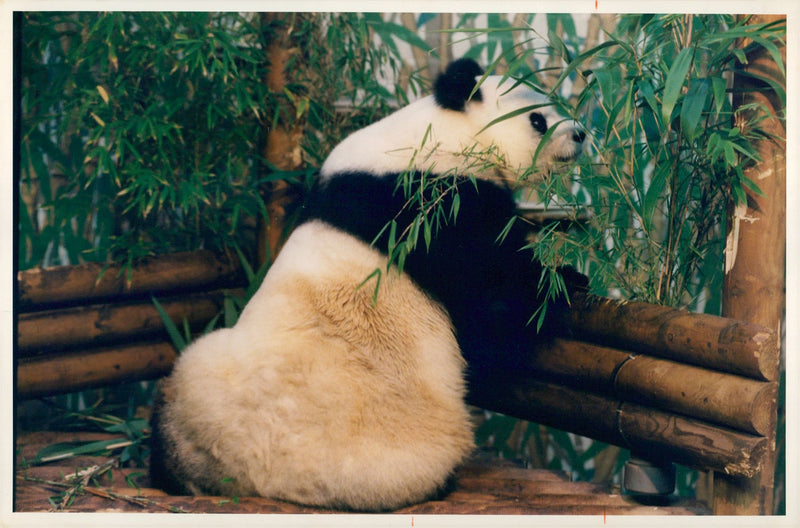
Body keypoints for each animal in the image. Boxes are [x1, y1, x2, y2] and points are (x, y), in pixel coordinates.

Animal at [150, 57, 588, 512]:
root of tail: (251, 479)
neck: (445, 133)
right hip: (388, 447)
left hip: (198, 378)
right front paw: (564, 282)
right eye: (538, 119)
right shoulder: (430, 205)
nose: (581, 133)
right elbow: (491, 303)